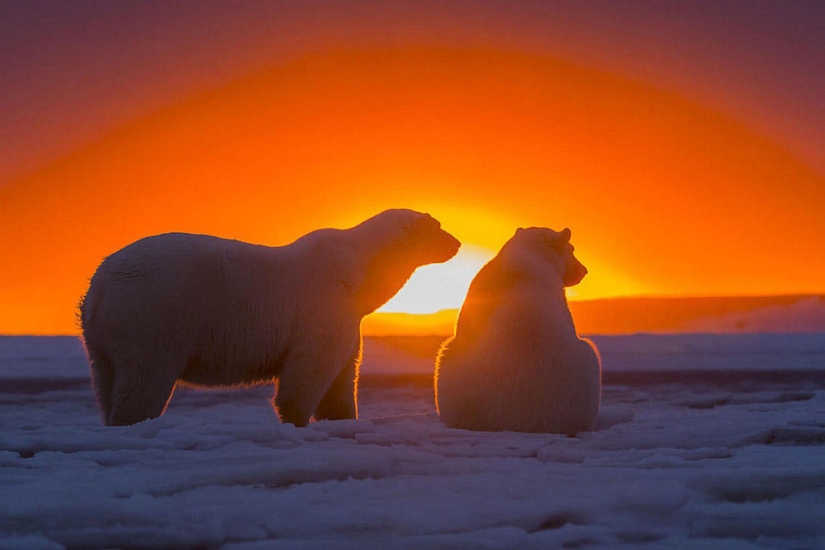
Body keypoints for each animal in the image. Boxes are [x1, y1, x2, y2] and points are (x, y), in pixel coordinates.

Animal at [79, 209, 460, 427]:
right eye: (438, 226)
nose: (457, 243)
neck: (361, 272)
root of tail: (100, 284)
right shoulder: (322, 308)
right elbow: (310, 370)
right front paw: (295, 420)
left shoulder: (348, 319)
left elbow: (342, 374)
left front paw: (343, 418)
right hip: (156, 316)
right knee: (146, 376)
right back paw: (133, 421)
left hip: (102, 339)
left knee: (105, 380)